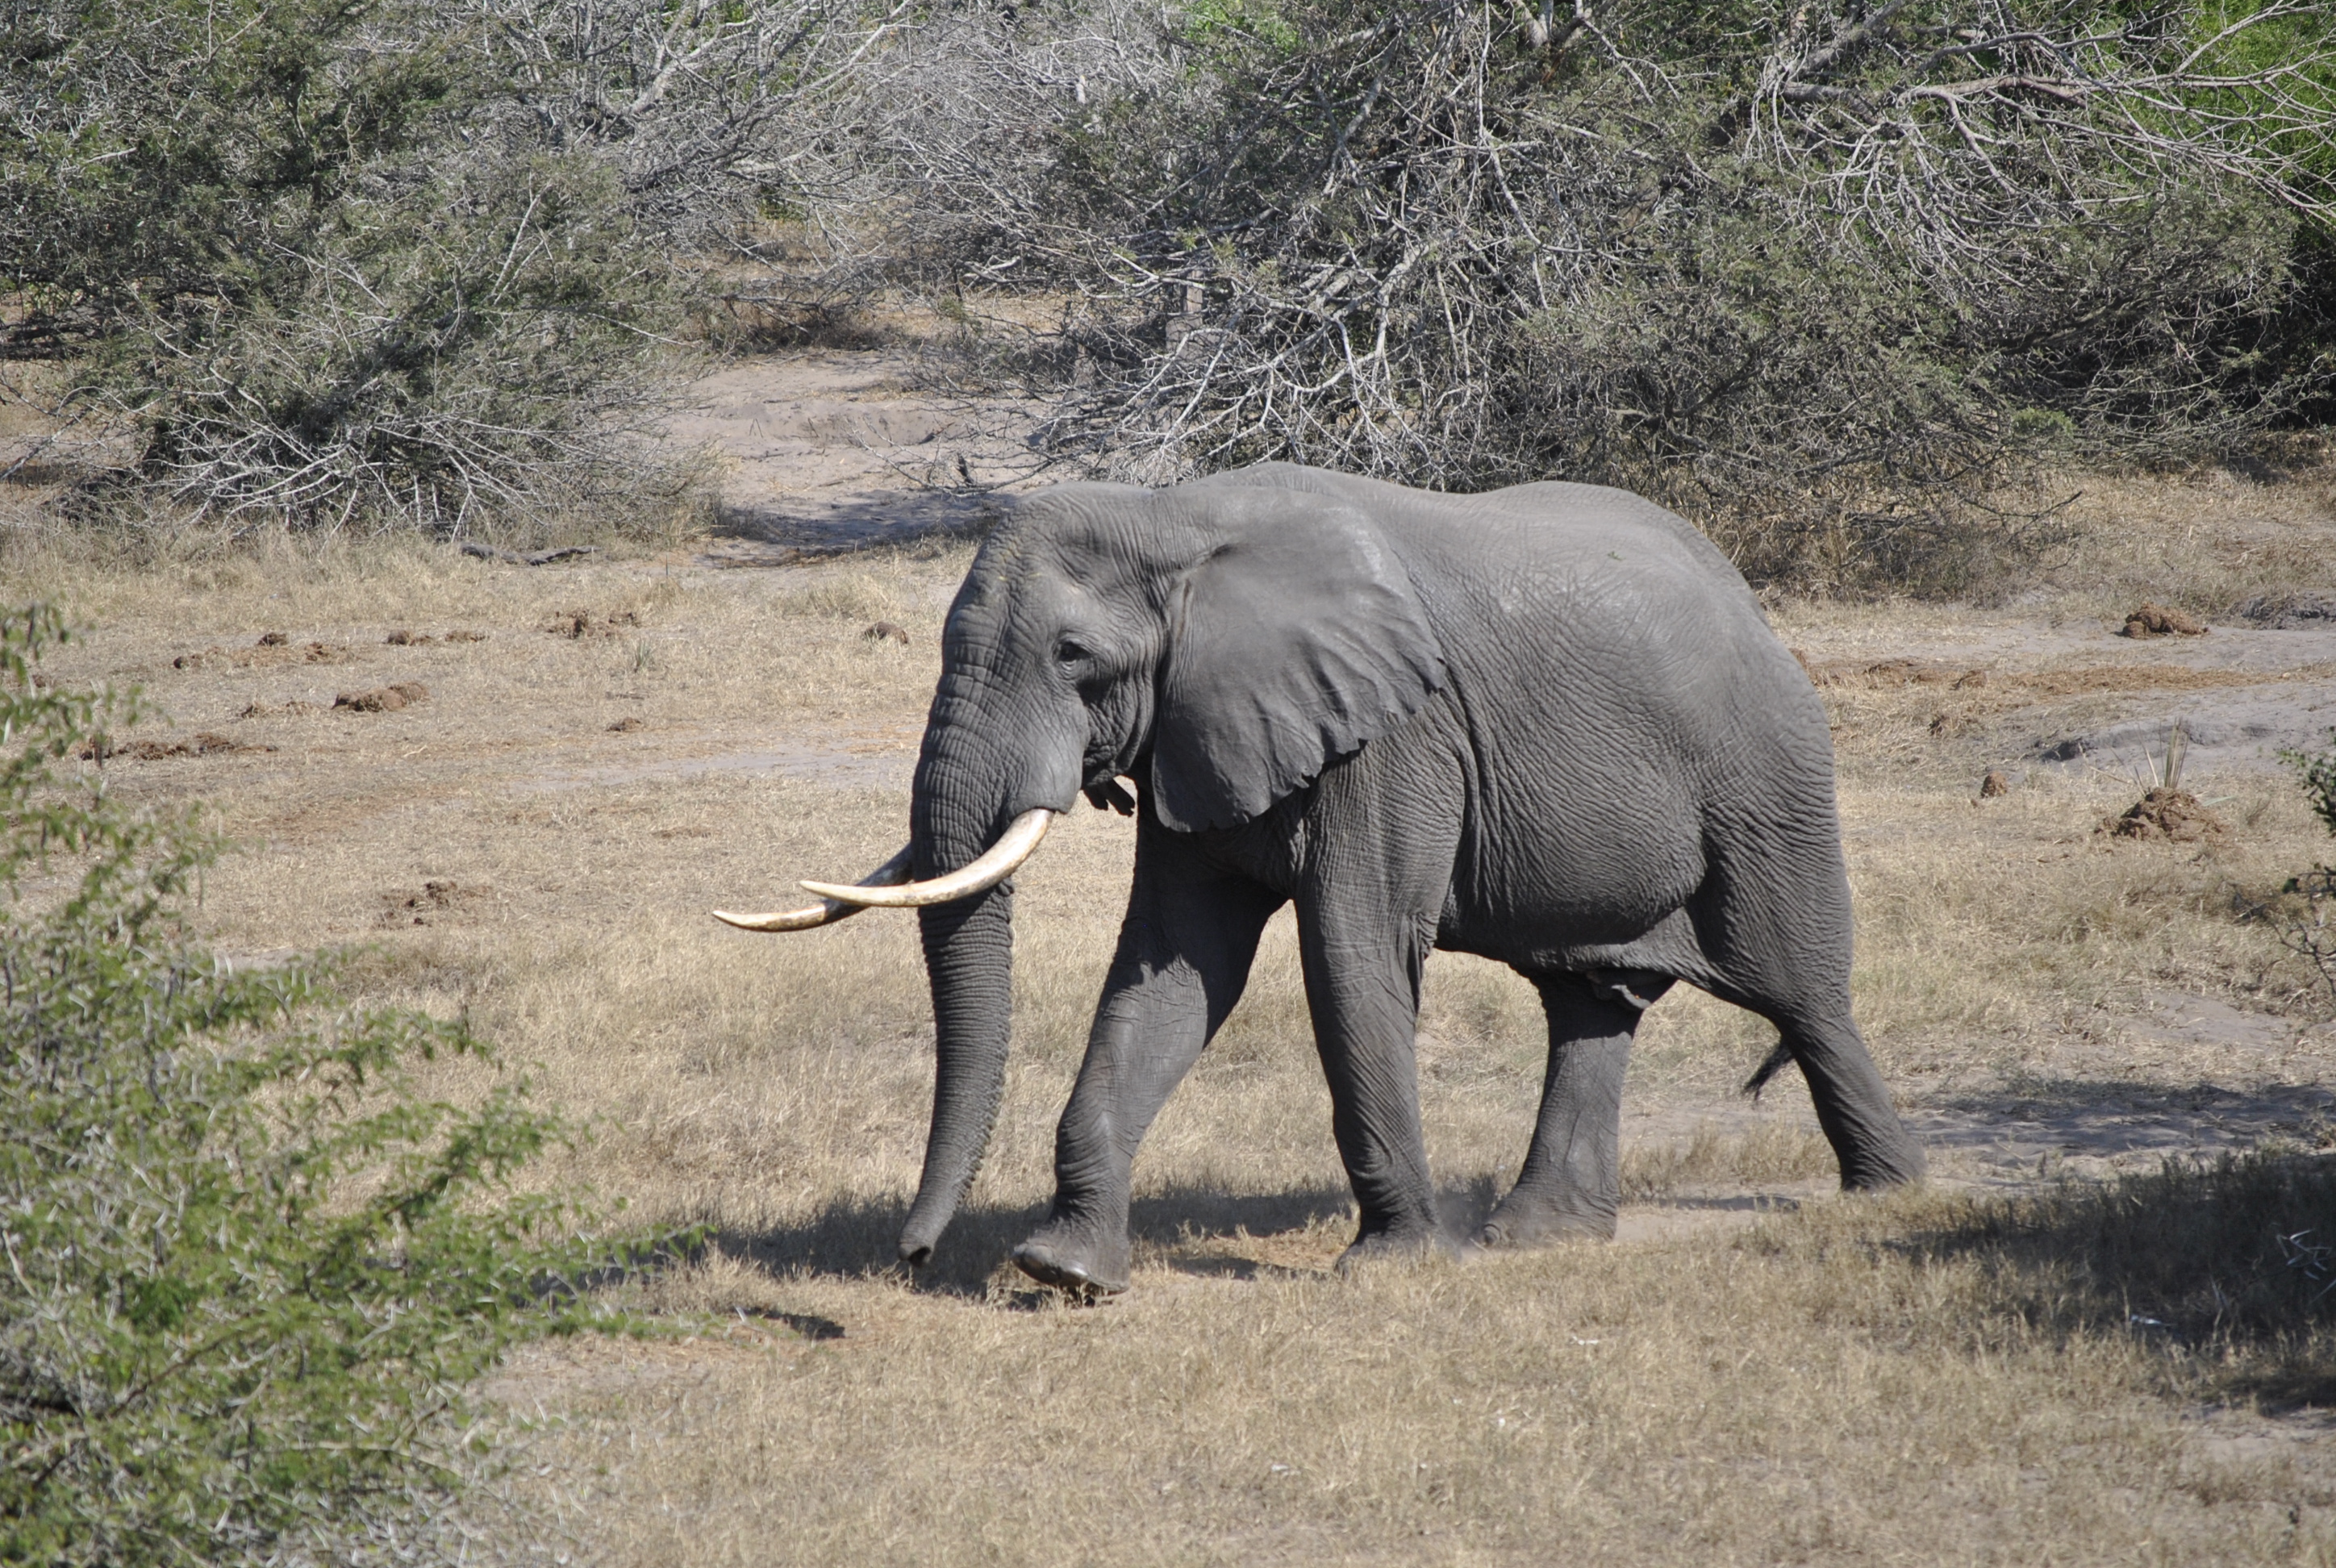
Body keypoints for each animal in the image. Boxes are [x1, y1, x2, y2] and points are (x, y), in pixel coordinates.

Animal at [717, 461, 1926, 1295]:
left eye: (1072, 656)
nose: (910, 1258)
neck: (1178, 520)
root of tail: (1752, 604)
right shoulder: (1197, 731)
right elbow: (1174, 969)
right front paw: (1064, 1274)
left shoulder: (1393, 735)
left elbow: (1350, 951)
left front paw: (1392, 1269)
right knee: (1588, 1002)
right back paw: (1536, 1236)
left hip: (1766, 779)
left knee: (1801, 993)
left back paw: (1889, 1199)